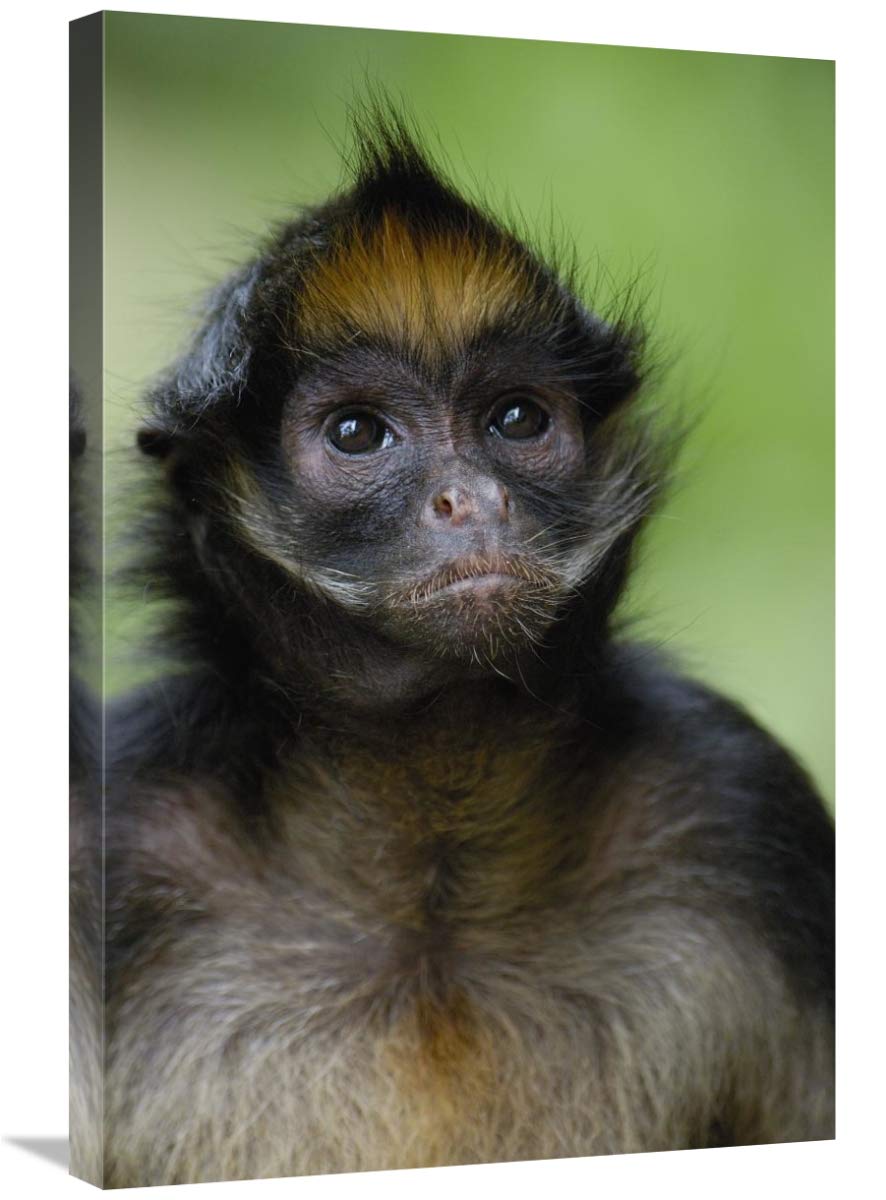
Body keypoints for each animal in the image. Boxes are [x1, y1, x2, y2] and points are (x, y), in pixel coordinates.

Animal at [92, 111, 834, 1188]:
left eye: (516, 419)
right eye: (358, 433)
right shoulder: (111, 838)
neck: (426, 909)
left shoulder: (737, 800)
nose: (472, 499)